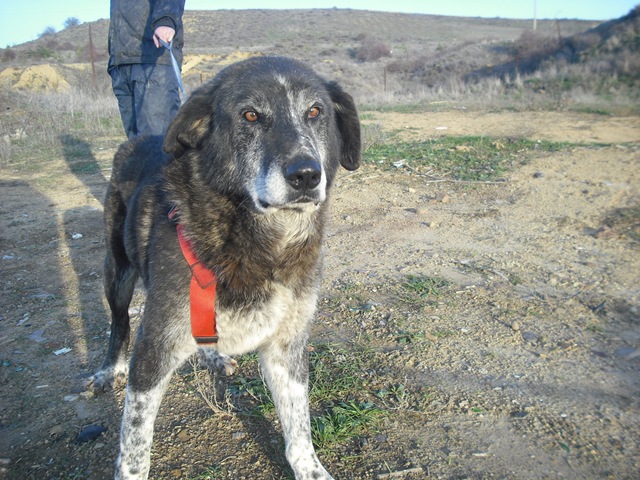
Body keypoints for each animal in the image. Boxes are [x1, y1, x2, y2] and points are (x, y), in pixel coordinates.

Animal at [88, 55, 362, 476]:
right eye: (250, 115)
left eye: (315, 111)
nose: (305, 174)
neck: (265, 246)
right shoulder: (153, 350)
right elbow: (134, 446)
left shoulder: (286, 347)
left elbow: (299, 431)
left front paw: (312, 471)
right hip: (117, 271)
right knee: (119, 321)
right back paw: (108, 369)